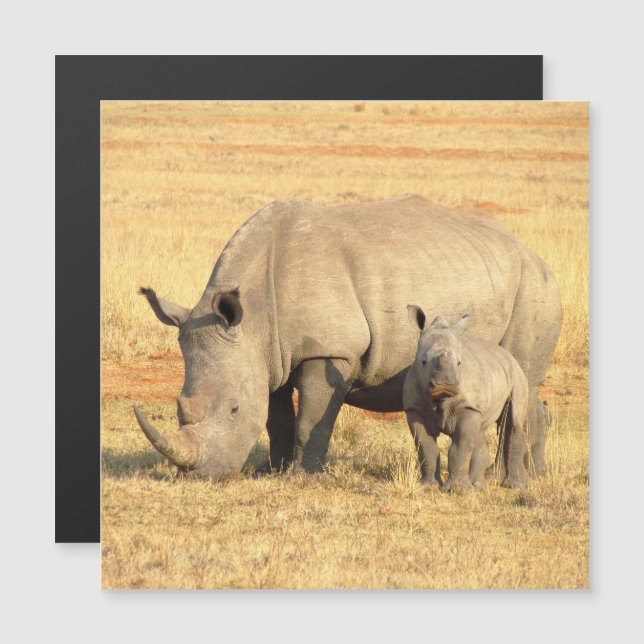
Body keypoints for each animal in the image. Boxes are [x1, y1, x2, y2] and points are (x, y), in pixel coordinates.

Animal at [402, 310, 530, 490]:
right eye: (423, 361)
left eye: (459, 363)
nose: (445, 385)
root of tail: (508, 356)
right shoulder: (414, 409)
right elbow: (426, 447)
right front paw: (428, 486)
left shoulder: (468, 406)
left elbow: (460, 446)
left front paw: (458, 490)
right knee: (479, 432)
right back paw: (478, 486)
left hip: (517, 376)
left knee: (514, 421)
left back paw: (514, 486)